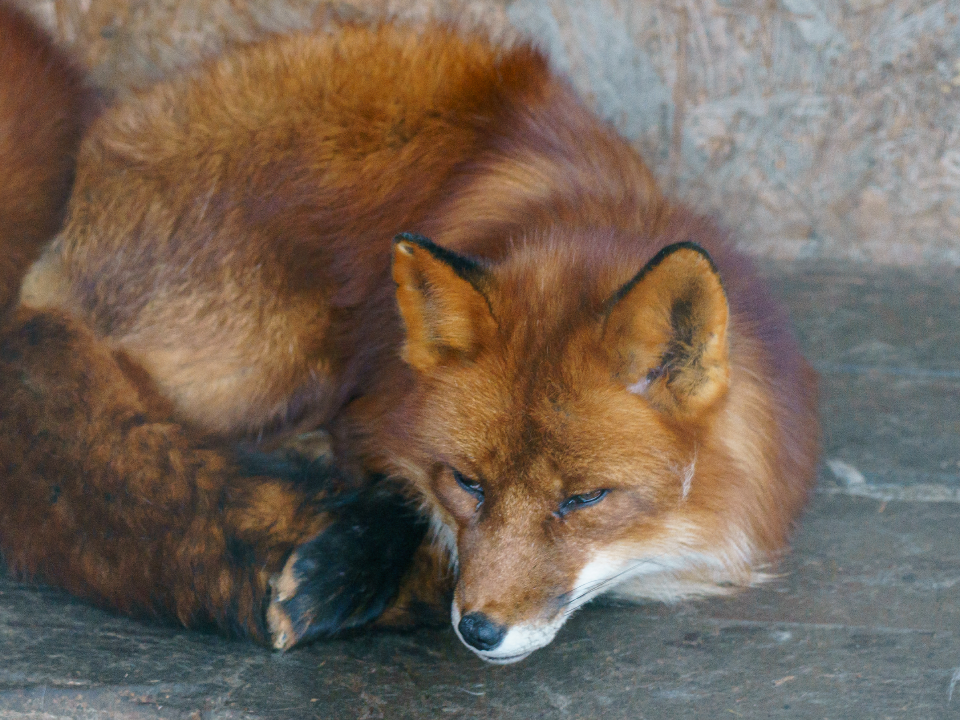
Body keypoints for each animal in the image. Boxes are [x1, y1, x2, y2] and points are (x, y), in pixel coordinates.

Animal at [1, 11, 824, 664]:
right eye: (468, 482)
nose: (479, 631)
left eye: (585, 499)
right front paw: (344, 566)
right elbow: (400, 491)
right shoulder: (371, 410)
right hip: (276, 357)